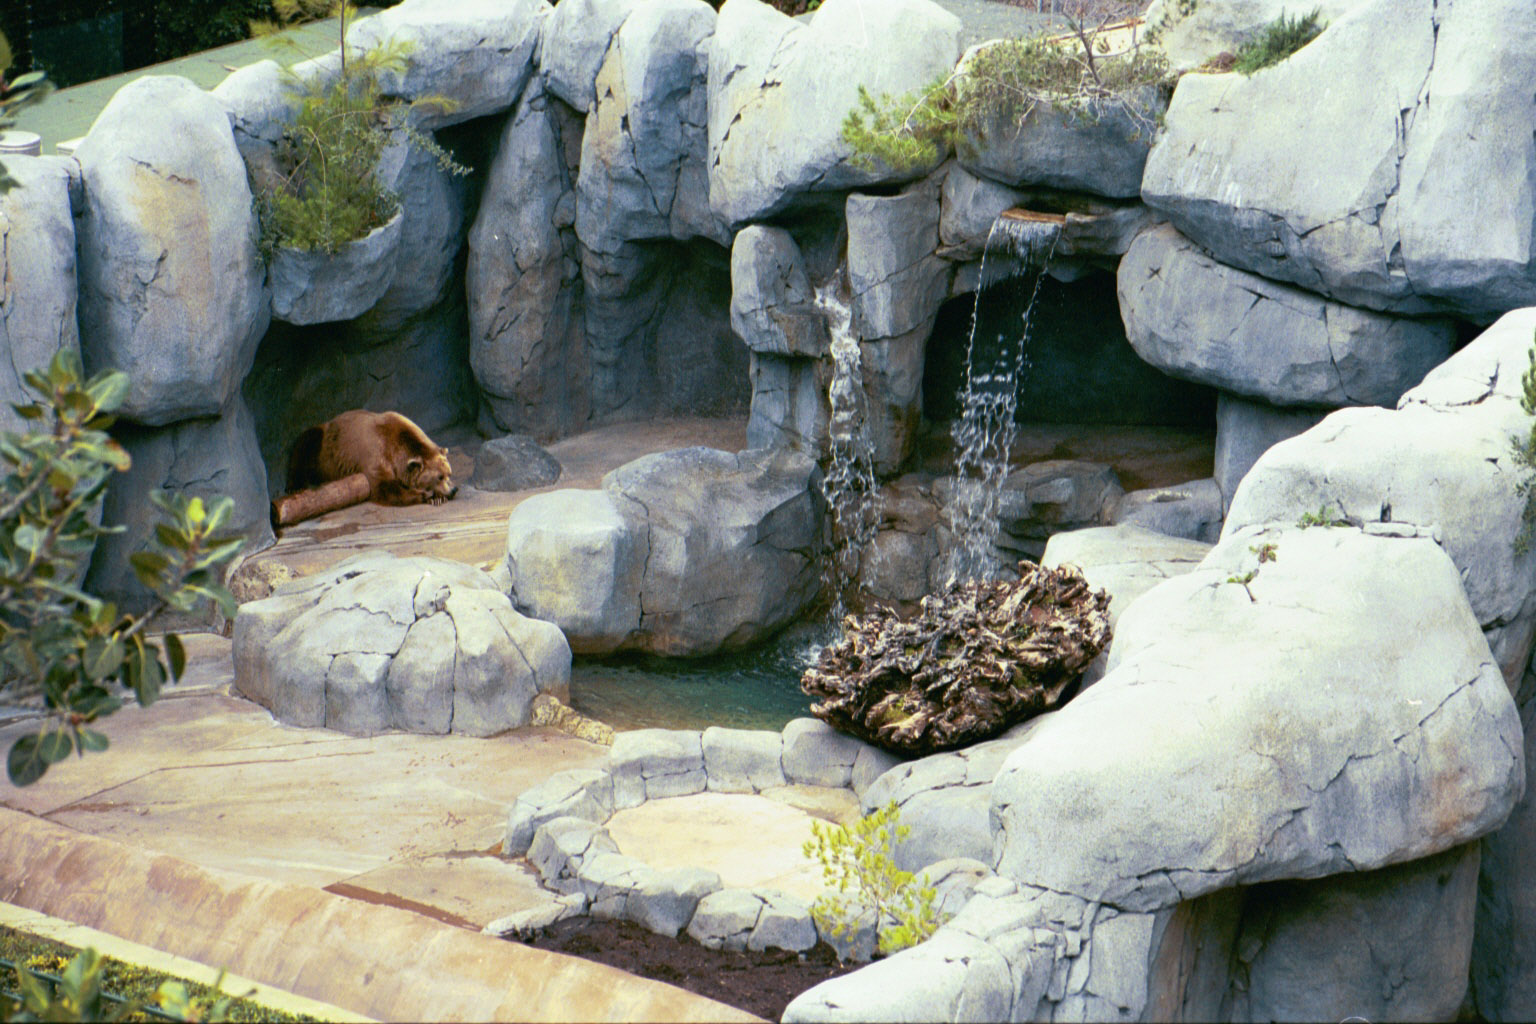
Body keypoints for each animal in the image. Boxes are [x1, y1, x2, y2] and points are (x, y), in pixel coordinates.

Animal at [287, 410, 458, 506]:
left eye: (449, 473)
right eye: (439, 477)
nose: (454, 489)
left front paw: (438, 497)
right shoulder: (375, 455)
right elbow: (384, 488)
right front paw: (427, 495)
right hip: (321, 446)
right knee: (304, 445)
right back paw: (296, 486)